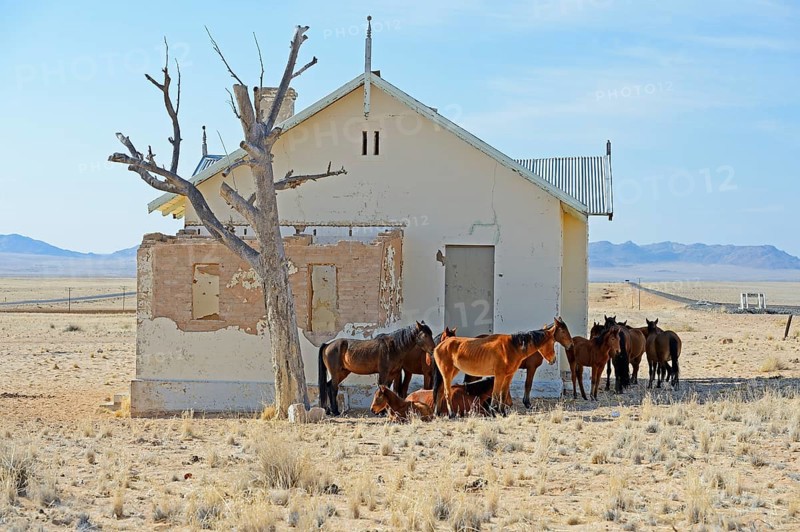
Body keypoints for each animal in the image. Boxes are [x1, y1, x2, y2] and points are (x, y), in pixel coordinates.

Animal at [433, 318, 573, 416]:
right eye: (563, 331)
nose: (570, 345)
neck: (512, 347)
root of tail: (440, 345)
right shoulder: (501, 375)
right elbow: (497, 393)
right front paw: (494, 411)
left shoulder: (508, 375)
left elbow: (503, 393)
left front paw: (502, 412)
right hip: (447, 373)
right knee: (446, 392)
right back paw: (451, 414)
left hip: (450, 373)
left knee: (439, 391)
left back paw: (437, 413)